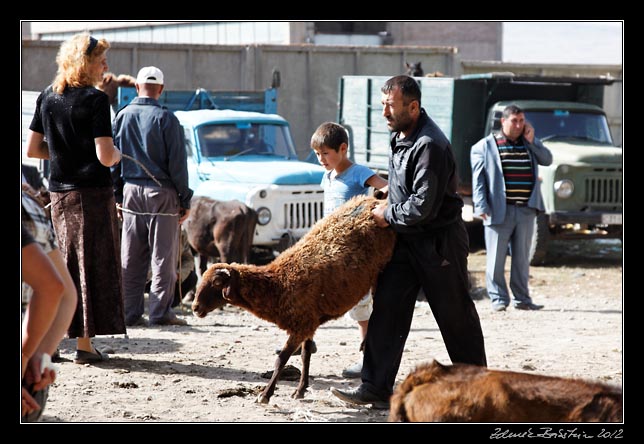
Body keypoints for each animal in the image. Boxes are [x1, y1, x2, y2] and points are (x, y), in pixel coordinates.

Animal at [191, 194, 394, 402]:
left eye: (217, 282)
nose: (195, 308)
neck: (277, 284)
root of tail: (373, 200)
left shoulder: (301, 325)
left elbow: (281, 359)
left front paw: (265, 394)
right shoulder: (309, 323)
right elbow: (306, 355)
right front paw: (300, 390)